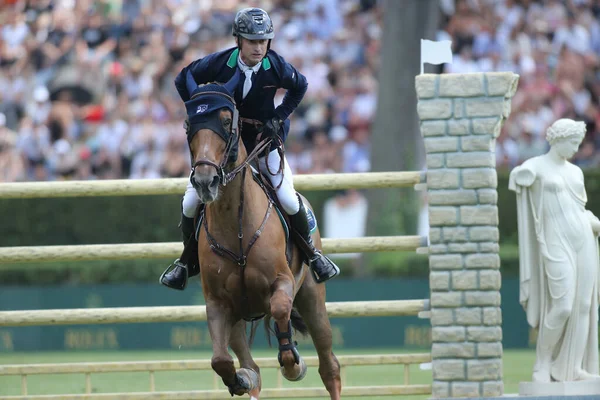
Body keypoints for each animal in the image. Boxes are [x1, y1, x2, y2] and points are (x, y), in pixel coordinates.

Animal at [185, 77, 340, 396]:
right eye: (188, 124)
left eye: (227, 120)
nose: (205, 182)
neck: (237, 228)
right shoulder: (219, 304)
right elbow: (221, 360)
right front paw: (240, 380)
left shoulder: (282, 281)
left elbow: (280, 308)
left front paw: (292, 363)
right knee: (250, 365)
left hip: (312, 298)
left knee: (329, 366)